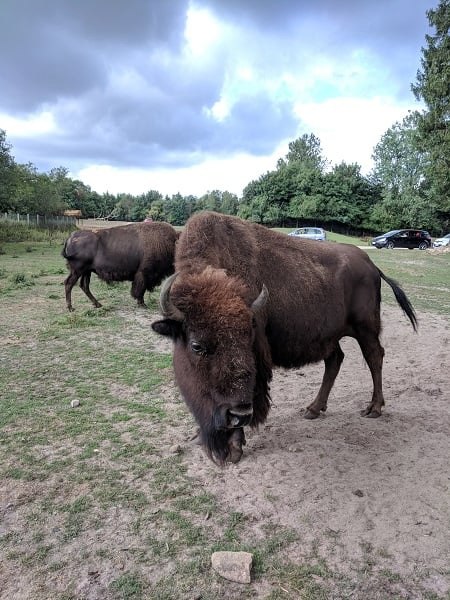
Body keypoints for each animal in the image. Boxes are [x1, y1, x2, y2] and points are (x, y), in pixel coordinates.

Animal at [151, 211, 417, 465]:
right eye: (197, 346)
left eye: (247, 340)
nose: (237, 415)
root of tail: (370, 264)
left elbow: (253, 392)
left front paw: (234, 450)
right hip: (331, 336)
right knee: (335, 361)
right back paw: (313, 409)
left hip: (366, 329)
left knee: (374, 357)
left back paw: (373, 408)